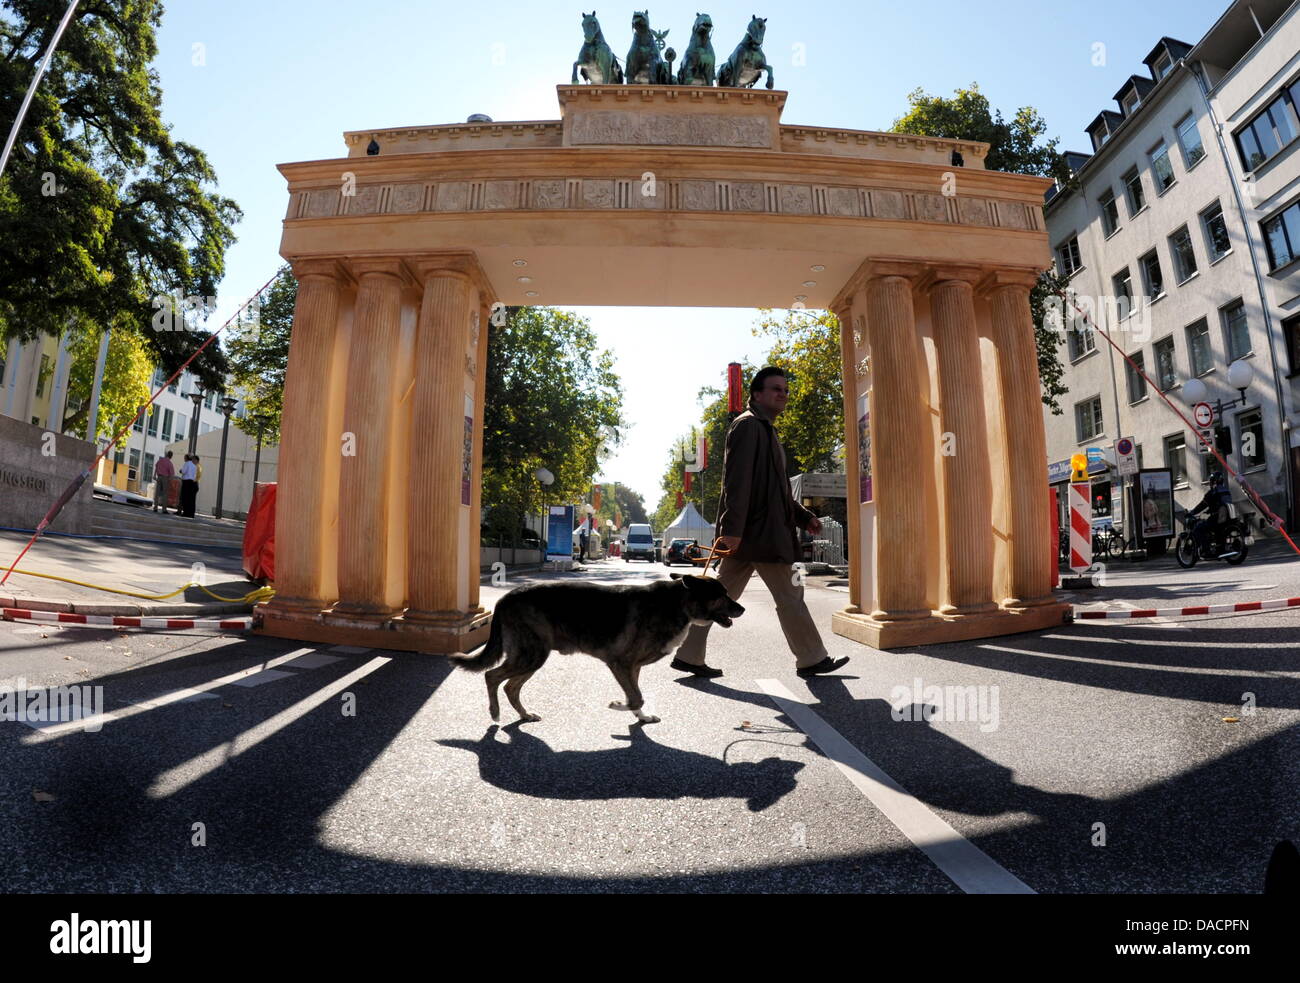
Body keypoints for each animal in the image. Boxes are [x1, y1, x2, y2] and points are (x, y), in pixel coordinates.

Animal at [452, 574, 748, 722]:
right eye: (721, 595)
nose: (742, 609)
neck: (679, 602)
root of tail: (505, 597)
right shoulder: (620, 664)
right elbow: (636, 697)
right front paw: (620, 705)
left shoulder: (632, 668)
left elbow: (637, 696)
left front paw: (640, 717)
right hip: (532, 655)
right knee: (492, 676)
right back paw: (494, 712)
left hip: (533, 656)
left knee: (511, 687)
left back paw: (524, 714)